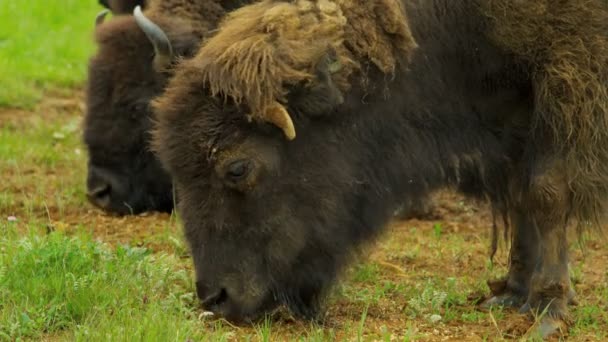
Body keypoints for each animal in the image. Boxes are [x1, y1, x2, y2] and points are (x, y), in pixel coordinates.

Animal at [151, 0, 608, 336]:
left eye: (238, 167)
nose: (216, 298)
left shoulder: (565, 81)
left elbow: (546, 194)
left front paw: (548, 309)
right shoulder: (513, 111)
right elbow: (519, 198)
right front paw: (512, 293)